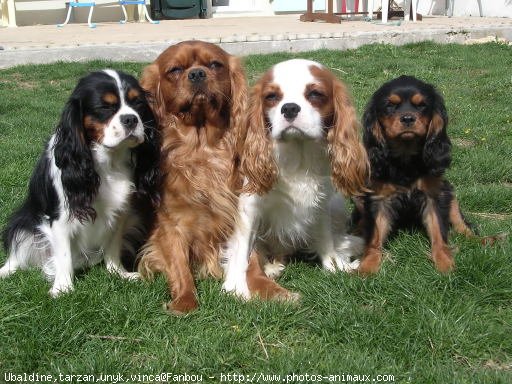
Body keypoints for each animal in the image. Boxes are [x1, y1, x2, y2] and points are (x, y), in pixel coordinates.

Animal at [222, 60, 366, 300]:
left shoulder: (321, 201)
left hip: (337, 205)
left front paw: (334, 265)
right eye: (271, 96)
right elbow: (242, 249)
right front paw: (236, 285)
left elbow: (325, 236)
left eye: (315, 94)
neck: (298, 154)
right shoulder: (249, 206)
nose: (289, 108)